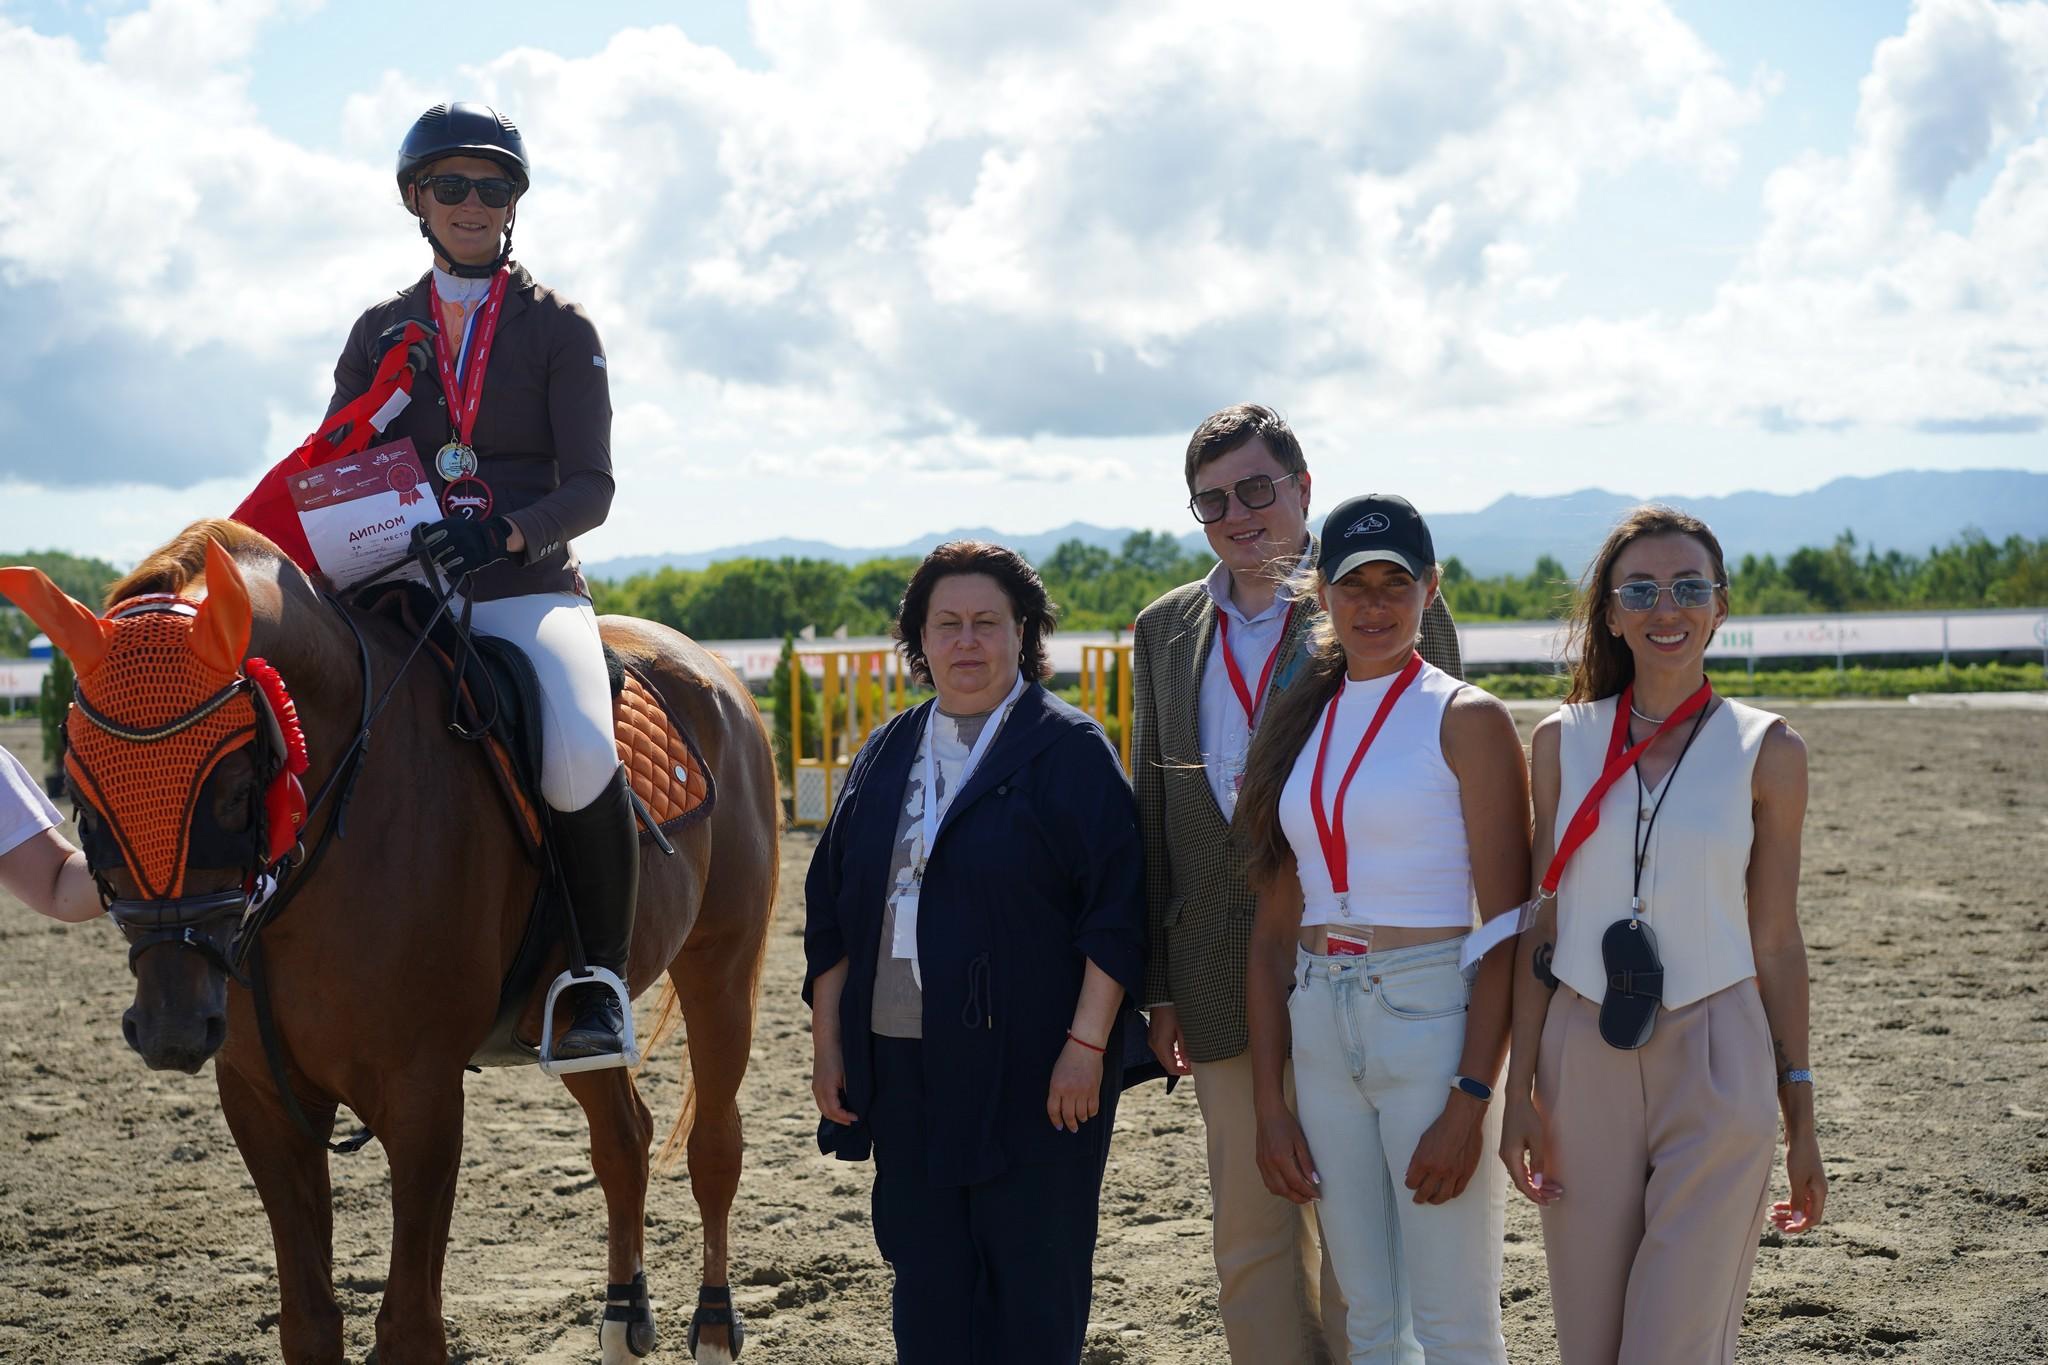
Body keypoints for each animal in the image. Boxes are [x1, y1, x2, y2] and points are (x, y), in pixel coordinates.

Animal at [4, 517, 770, 1358]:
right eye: (80, 792)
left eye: (235, 788)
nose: (170, 1029)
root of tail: (716, 672)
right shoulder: (261, 1097)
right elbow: (309, 1320)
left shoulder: (422, 1094)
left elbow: (409, 1326)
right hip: (569, 1010)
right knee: (623, 1137)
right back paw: (622, 1319)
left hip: (720, 966)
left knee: (716, 1143)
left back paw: (713, 1322)